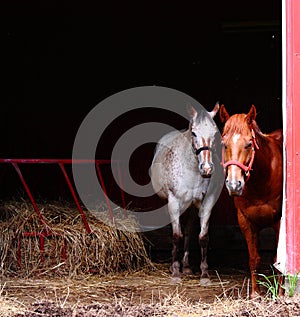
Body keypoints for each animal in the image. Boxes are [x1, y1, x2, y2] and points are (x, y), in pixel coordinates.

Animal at [151, 103, 221, 278]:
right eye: (194, 133)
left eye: (215, 133)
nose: (207, 168)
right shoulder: (174, 202)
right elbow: (176, 236)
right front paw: (175, 270)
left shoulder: (207, 203)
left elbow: (203, 237)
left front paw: (204, 272)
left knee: (188, 231)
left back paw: (187, 266)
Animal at [219, 104, 282, 296]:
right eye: (224, 144)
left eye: (248, 144)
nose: (234, 184)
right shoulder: (246, 222)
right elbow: (254, 258)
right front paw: (255, 294)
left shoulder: (279, 222)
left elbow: (279, 259)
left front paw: (281, 293)